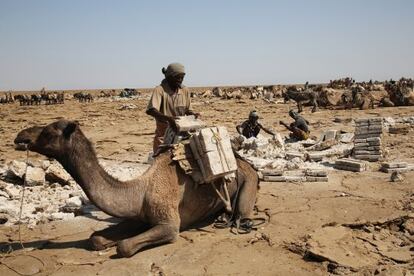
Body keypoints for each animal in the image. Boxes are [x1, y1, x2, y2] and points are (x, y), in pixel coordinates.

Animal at [14, 119, 258, 258]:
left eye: (48, 133)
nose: (20, 136)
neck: (140, 189)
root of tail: (241, 160)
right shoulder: (139, 215)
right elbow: (96, 238)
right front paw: (103, 240)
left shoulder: (169, 224)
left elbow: (124, 246)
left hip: (249, 180)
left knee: (242, 211)